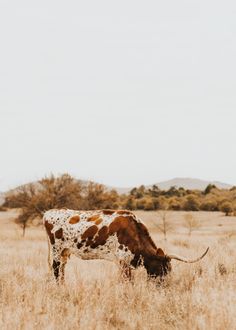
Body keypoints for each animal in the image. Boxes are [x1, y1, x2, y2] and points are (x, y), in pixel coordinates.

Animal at [42, 209, 208, 282]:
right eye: (163, 268)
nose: (164, 286)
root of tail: (49, 213)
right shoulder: (124, 261)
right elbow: (128, 282)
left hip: (65, 252)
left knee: (62, 271)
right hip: (57, 251)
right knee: (56, 270)